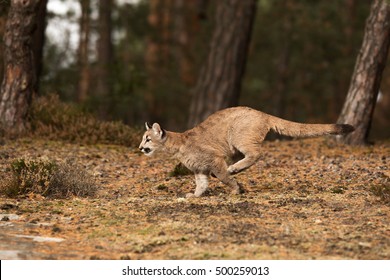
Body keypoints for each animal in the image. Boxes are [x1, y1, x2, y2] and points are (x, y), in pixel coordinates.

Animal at [138, 106, 354, 198]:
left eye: (148, 138)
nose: (140, 147)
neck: (179, 145)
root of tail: (262, 113)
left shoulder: (215, 160)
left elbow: (223, 177)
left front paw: (235, 189)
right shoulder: (200, 169)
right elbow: (202, 184)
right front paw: (195, 195)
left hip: (238, 137)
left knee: (256, 154)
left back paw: (234, 169)